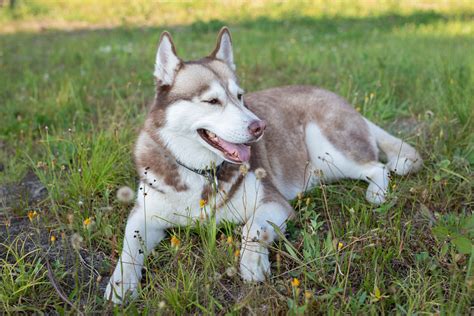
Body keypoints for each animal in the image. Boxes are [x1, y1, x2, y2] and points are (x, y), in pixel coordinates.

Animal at [103, 27, 422, 304]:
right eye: (212, 101)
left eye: (239, 96)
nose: (260, 127)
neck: (202, 172)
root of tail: (344, 101)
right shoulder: (144, 214)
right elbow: (129, 245)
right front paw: (121, 283)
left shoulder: (273, 202)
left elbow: (251, 228)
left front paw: (252, 261)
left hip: (330, 152)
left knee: (378, 167)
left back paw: (376, 193)